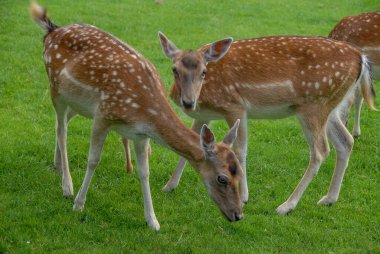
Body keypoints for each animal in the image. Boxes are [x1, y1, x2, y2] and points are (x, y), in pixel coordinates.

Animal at [30, 0, 243, 230]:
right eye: (222, 178)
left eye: (240, 172)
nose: (238, 214)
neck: (145, 112)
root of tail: (52, 30)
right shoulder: (104, 114)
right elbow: (93, 160)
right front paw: (79, 204)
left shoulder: (140, 135)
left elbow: (144, 172)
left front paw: (153, 221)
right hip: (55, 88)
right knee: (61, 129)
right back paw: (67, 185)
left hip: (77, 103)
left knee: (63, 124)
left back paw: (58, 165)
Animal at [158, 31, 378, 214]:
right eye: (174, 69)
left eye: (204, 71)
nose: (188, 102)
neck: (204, 97)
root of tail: (361, 58)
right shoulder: (205, 115)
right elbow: (189, 149)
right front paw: (169, 186)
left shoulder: (235, 106)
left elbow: (240, 150)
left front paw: (244, 196)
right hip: (331, 106)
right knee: (346, 141)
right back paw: (329, 198)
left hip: (314, 105)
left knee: (321, 151)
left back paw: (287, 205)